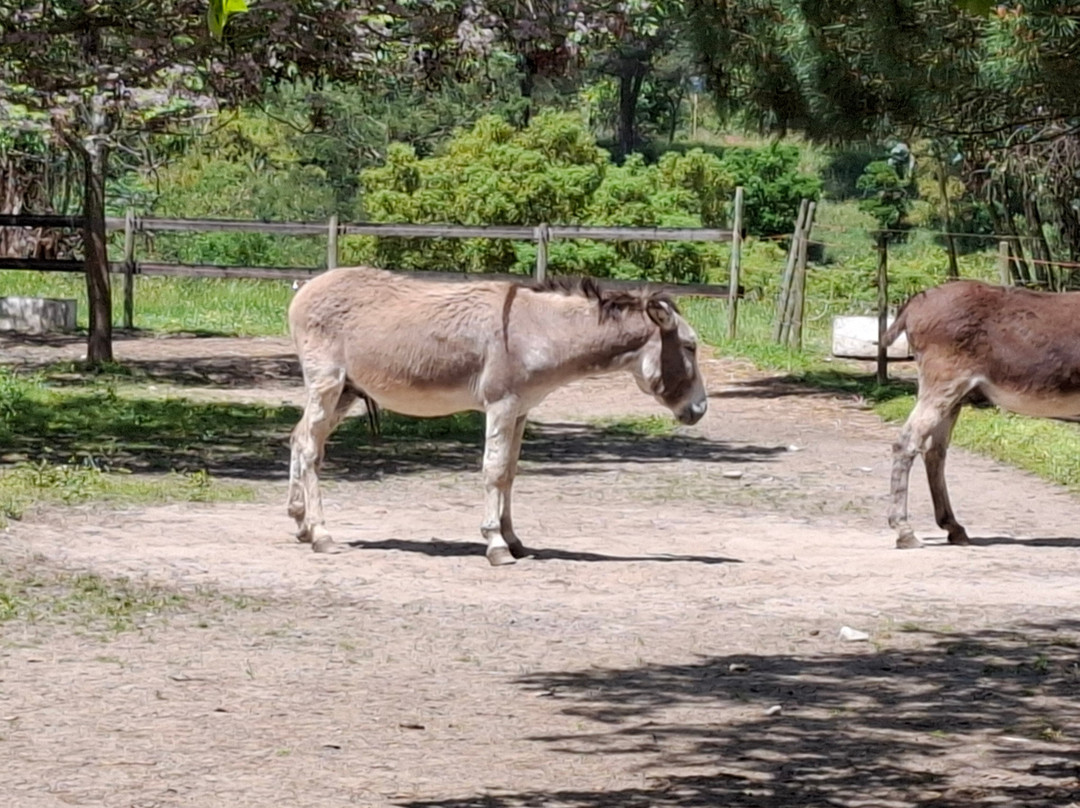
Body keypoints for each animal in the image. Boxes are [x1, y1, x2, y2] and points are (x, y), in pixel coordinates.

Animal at [287, 266, 708, 565]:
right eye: (690, 347)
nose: (700, 410)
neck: (538, 331)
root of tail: (306, 287)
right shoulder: (501, 405)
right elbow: (492, 470)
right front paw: (495, 544)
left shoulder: (521, 410)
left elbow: (508, 473)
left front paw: (514, 540)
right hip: (327, 382)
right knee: (309, 446)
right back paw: (322, 535)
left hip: (345, 390)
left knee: (299, 437)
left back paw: (301, 522)